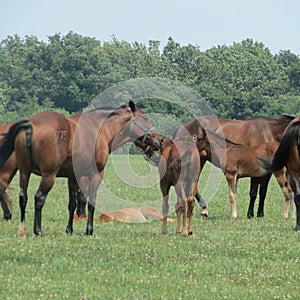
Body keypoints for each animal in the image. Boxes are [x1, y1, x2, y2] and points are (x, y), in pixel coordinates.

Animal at [0, 101, 162, 237]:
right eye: (145, 118)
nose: (160, 140)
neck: (100, 128)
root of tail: (30, 124)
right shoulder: (95, 175)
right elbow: (90, 203)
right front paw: (89, 230)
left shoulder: (73, 177)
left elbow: (73, 204)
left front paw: (69, 230)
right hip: (48, 175)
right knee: (39, 198)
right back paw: (37, 230)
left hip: (24, 172)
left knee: (23, 198)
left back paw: (22, 228)